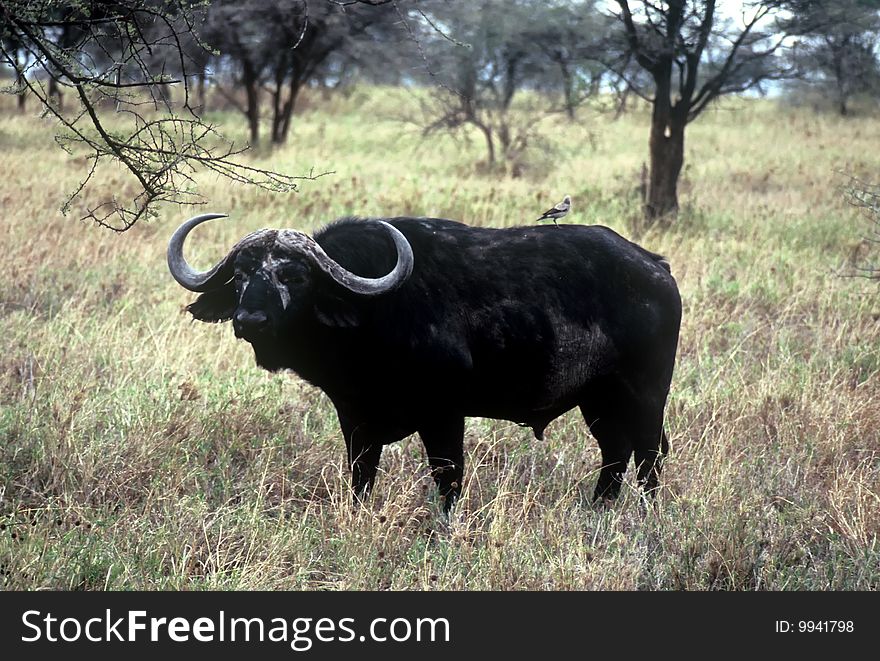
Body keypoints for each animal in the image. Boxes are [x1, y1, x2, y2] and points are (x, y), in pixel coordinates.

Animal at [168, 214, 684, 508]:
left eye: (294, 276)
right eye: (240, 276)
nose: (250, 319)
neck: (375, 312)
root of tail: (656, 266)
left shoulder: (443, 416)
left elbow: (447, 478)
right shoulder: (355, 418)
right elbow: (361, 476)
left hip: (643, 395)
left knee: (650, 454)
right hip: (598, 401)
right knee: (616, 452)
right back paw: (599, 509)